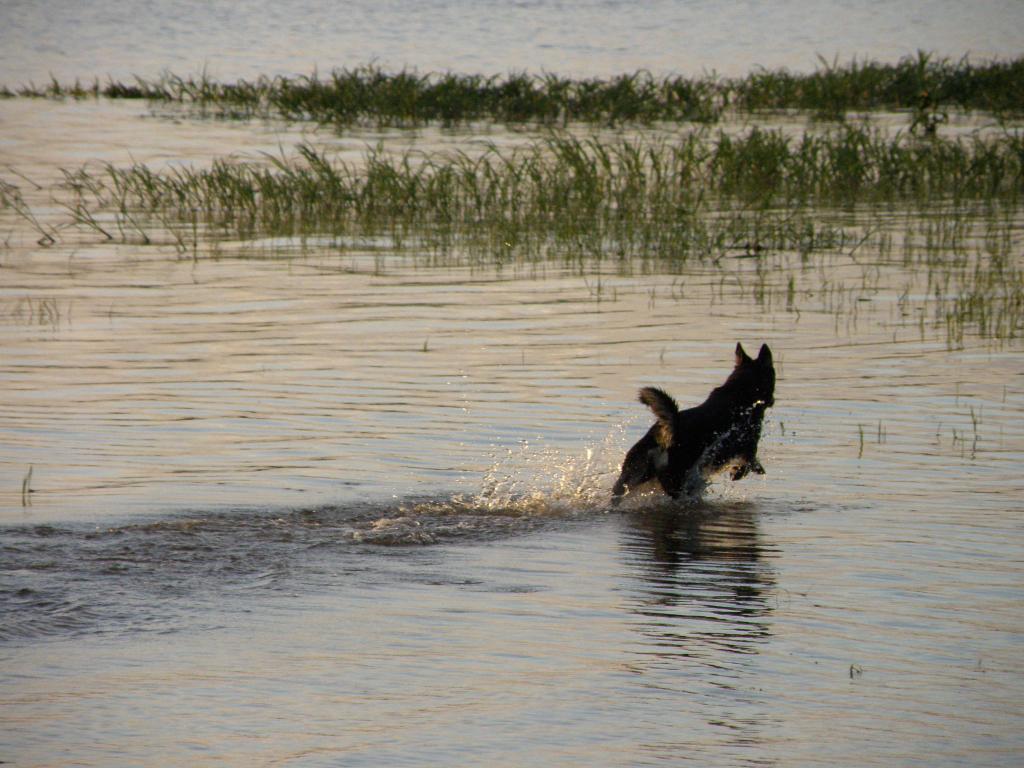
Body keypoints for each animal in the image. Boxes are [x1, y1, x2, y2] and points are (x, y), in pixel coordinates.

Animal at [610, 344, 770, 505]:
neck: (739, 392)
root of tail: (667, 437)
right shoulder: (748, 446)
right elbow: (749, 463)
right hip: (679, 482)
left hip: (632, 474)